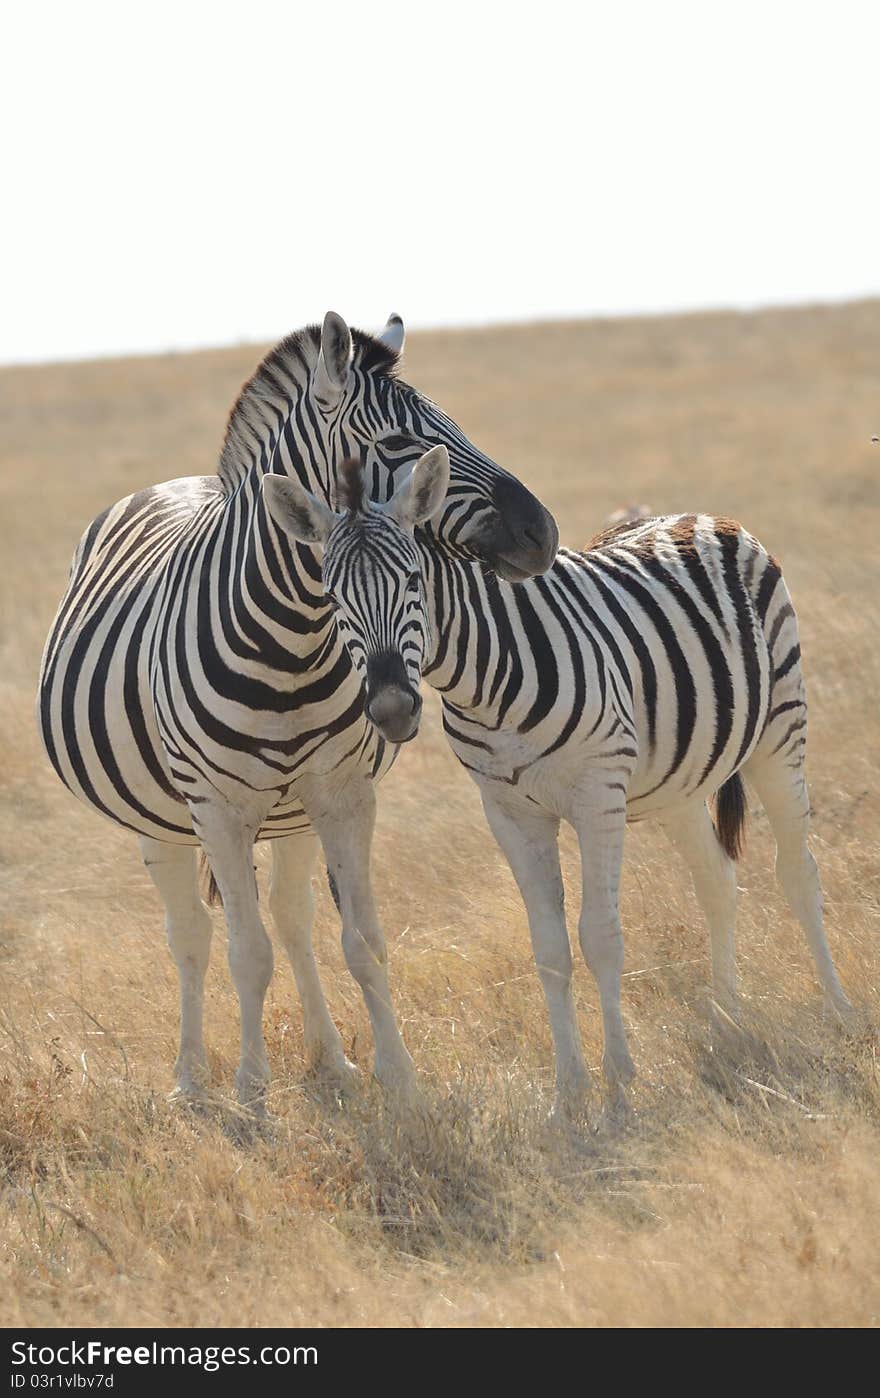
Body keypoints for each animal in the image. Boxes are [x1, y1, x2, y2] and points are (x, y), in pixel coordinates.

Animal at [39, 311, 556, 1107]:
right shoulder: (218, 809)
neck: (292, 638)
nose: (543, 533)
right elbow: (244, 953)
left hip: (292, 814)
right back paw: (191, 1079)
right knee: (191, 936)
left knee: (291, 919)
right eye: (398, 443)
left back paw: (329, 1060)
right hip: (158, 820)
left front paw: (397, 1077)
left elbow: (360, 940)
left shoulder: (342, 792)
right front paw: (252, 1091)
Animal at [278, 464, 856, 1118]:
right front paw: (570, 1089)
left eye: (412, 582)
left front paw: (620, 1082)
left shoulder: (597, 796)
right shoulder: (509, 813)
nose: (394, 709)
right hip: (678, 784)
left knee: (798, 872)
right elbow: (550, 949)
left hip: (780, 727)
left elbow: (599, 936)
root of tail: (702, 516)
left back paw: (837, 1009)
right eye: (332, 599)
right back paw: (726, 1017)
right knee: (717, 880)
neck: (484, 680)